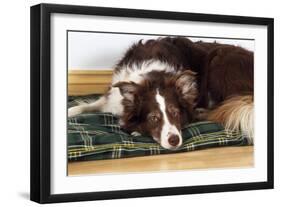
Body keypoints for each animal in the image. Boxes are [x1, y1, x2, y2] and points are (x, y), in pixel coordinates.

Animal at [68, 36, 254, 149]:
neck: (151, 77)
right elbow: (89, 104)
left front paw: (135, 130)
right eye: (153, 118)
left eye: (176, 113)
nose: (174, 140)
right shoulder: (112, 97)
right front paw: (71, 110)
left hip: (220, 62)